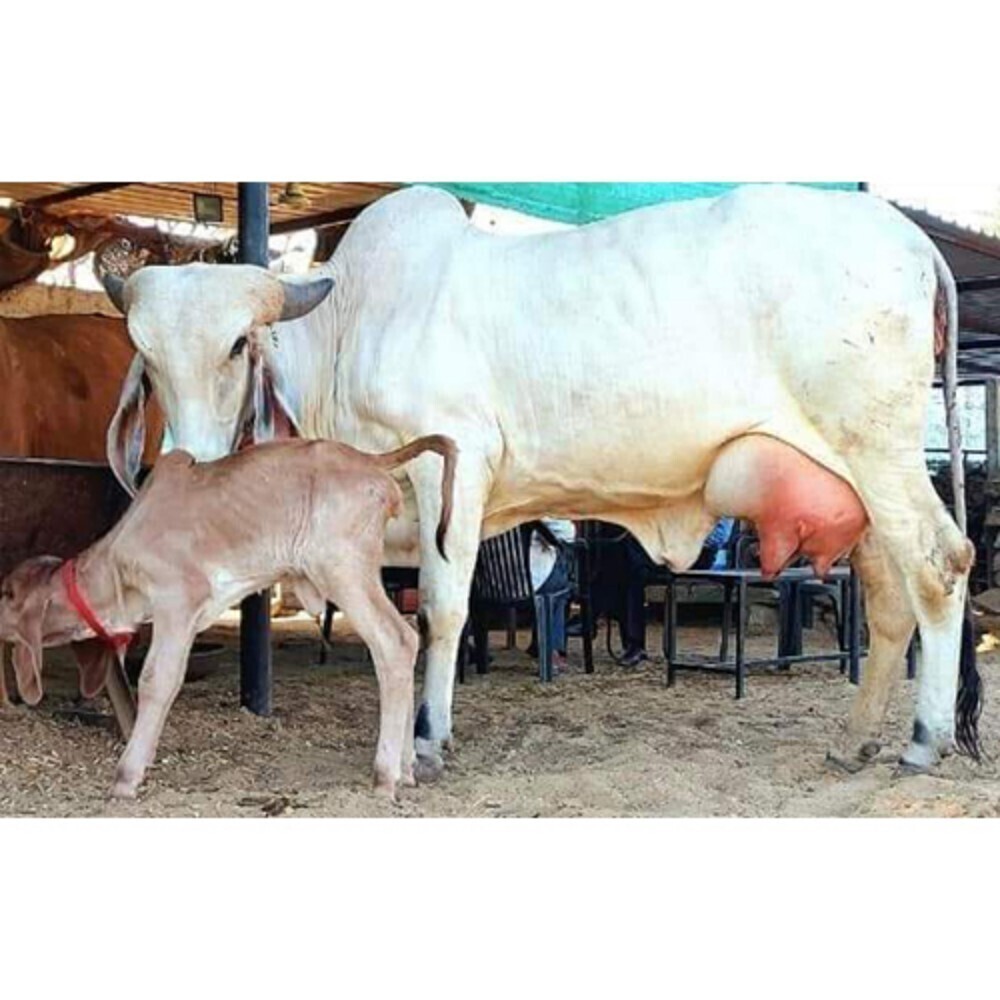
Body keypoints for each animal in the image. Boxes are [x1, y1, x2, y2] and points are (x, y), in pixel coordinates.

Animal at [0, 434, 457, 799]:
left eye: (7, 592)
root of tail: (368, 460)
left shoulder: (178, 599)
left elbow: (157, 680)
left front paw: (127, 775)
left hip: (342, 568)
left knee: (393, 642)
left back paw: (386, 774)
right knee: (408, 638)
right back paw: (407, 769)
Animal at [100, 183, 981, 782]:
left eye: (237, 346)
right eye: (144, 353)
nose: (182, 464)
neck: (353, 325)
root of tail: (907, 235)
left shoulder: (451, 466)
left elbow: (444, 611)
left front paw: (429, 736)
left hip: (880, 450)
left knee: (941, 566)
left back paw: (923, 739)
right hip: (857, 486)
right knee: (892, 602)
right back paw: (855, 739)